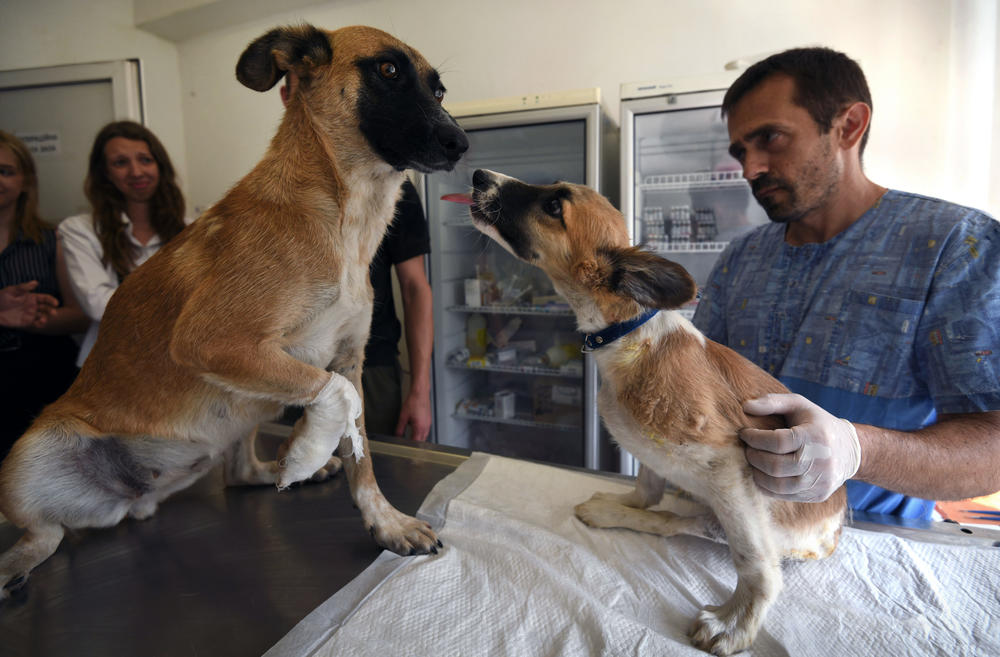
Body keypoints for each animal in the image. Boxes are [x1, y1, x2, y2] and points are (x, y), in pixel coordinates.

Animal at [0, 25, 468, 600]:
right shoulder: (212, 341)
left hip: (246, 405)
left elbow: (362, 453)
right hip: (28, 455)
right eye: (388, 70)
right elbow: (338, 397)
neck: (342, 215)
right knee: (45, 532)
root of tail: (136, 499)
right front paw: (306, 449)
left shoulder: (347, 358)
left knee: (238, 470)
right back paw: (14, 564)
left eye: (439, 90)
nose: (461, 144)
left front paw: (385, 522)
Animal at [460, 170, 844, 656]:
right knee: (666, 519)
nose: (478, 176)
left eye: (554, 206)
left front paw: (736, 623)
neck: (627, 339)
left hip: (736, 513)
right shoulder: (656, 455)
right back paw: (612, 514)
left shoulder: (730, 463)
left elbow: (753, 563)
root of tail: (836, 524)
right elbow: (645, 489)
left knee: (704, 534)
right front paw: (622, 504)